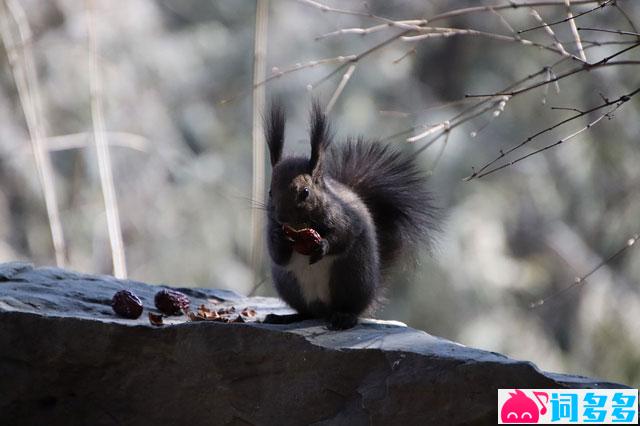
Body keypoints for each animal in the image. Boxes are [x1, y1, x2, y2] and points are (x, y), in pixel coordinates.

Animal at [262, 101, 438, 332]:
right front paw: (278, 238)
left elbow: (344, 237)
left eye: (305, 193)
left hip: (350, 278)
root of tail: (324, 311)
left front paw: (322, 245)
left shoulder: (345, 217)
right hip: (291, 285)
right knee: (306, 313)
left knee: (350, 309)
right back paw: (286, 317)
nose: (282, 218)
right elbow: (277, 256)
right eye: (270, 192)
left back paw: (345, 318)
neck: (302, 227)